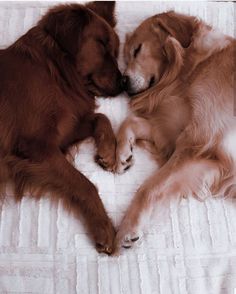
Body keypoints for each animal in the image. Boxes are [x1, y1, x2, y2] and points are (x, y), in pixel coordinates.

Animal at [0, 1, 122, 254]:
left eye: (116, 51)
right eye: (102, 44)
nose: (125, 82)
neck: (53, 70)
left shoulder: (62, 132)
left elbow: (101, 117)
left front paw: (108, 152)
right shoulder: (35, 147)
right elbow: (85, 184)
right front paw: (103, 227)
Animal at [113, 11, 236, 250]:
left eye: (137, 50)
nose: (122, 81)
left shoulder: (197, 141)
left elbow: (149, 188)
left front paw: (129, 228)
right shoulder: (178, 133)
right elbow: (130, 122)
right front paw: (122, 153)